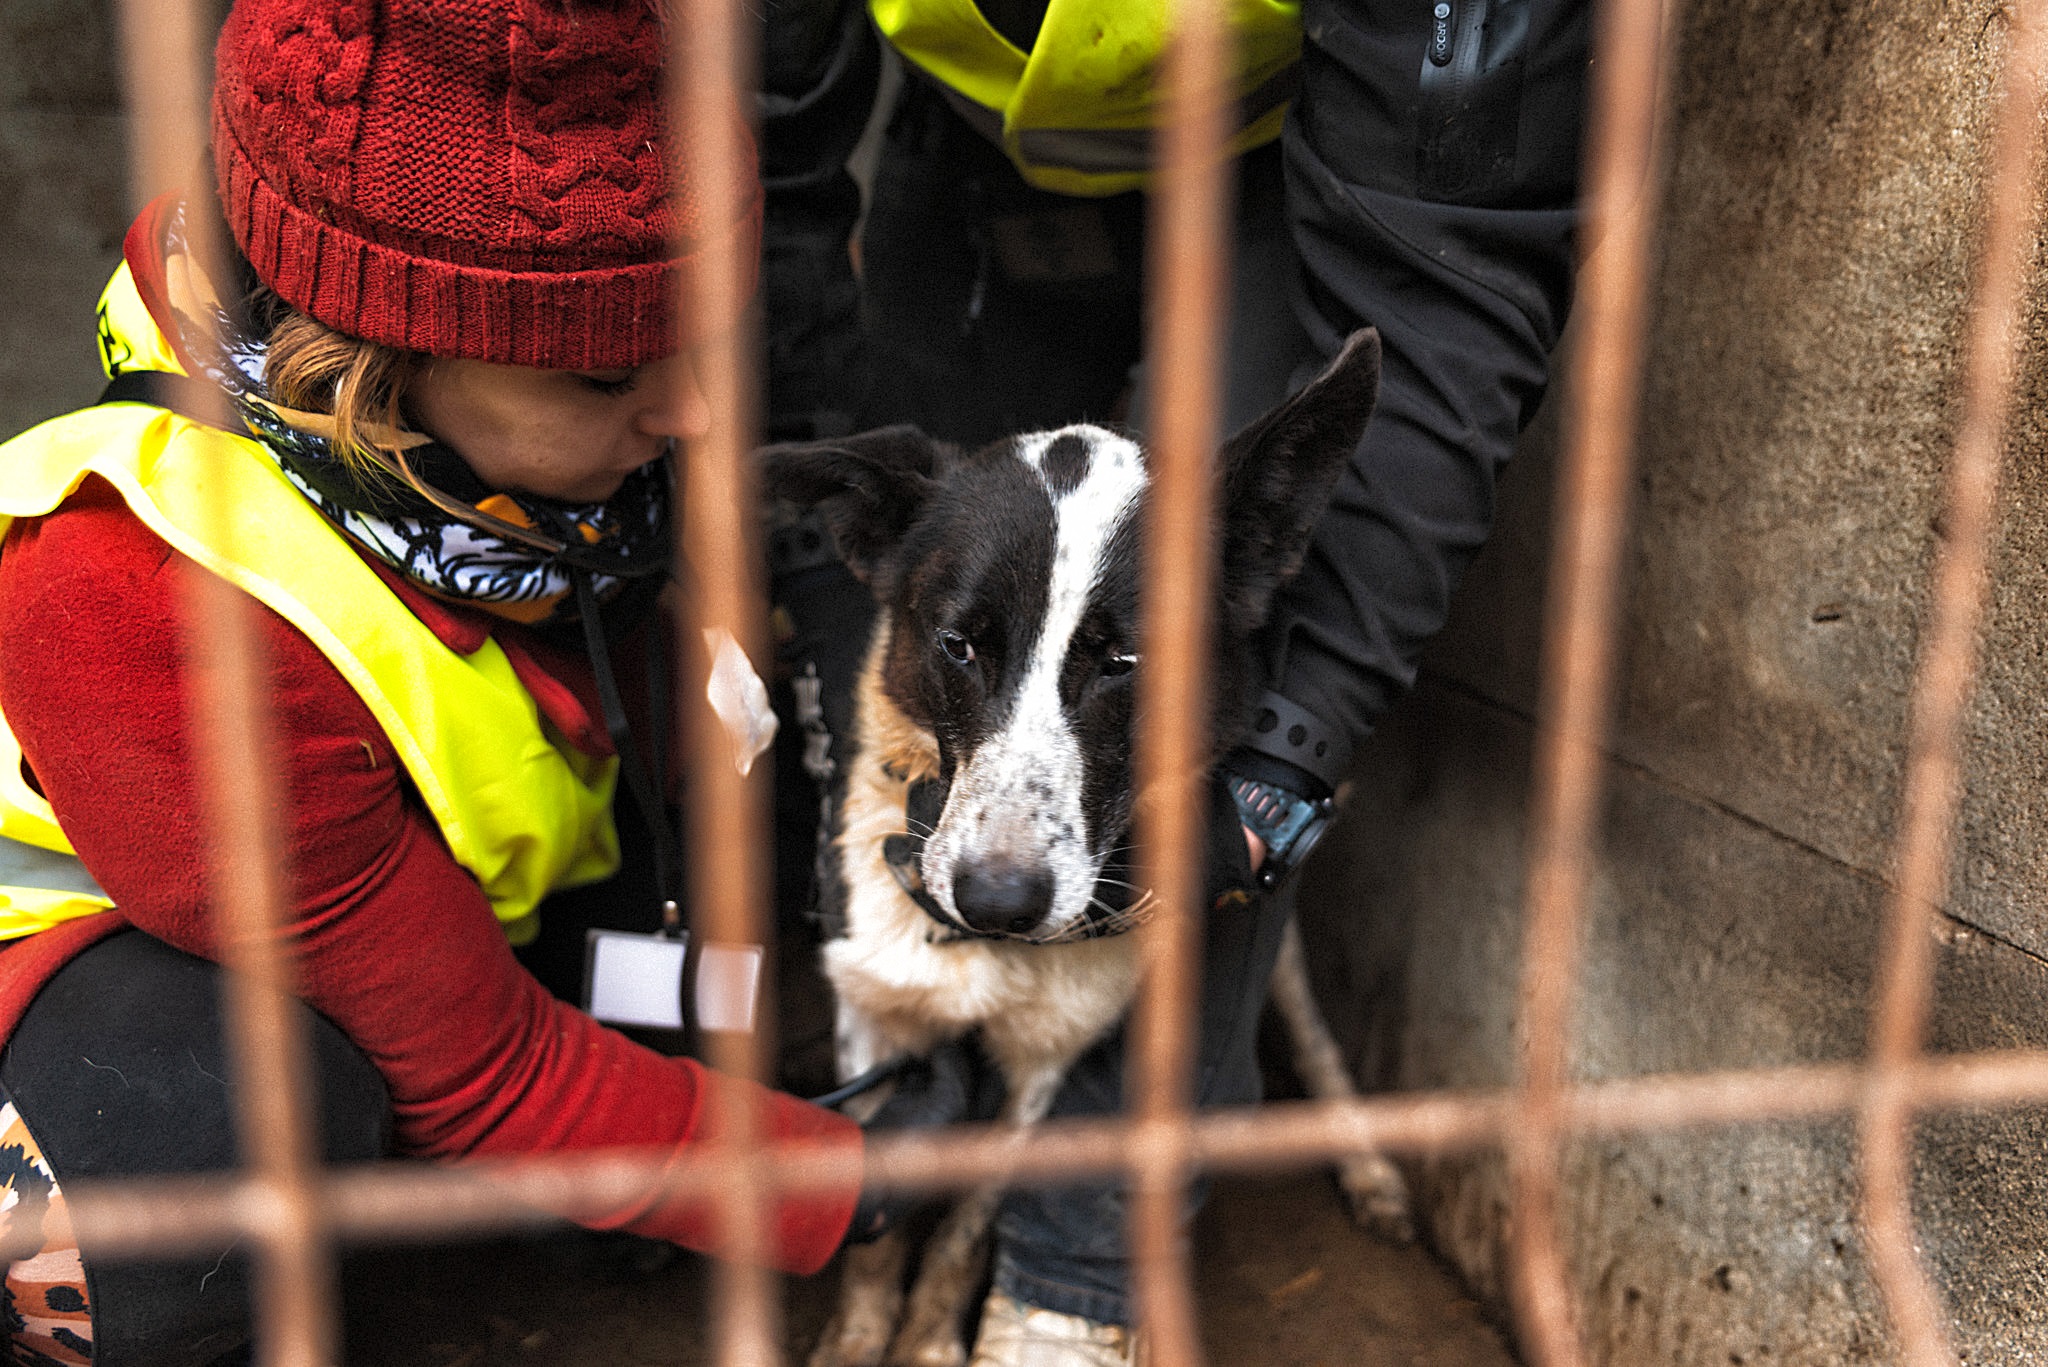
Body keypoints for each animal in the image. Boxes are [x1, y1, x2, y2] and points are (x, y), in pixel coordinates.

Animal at [770, 327, 1409, 1367]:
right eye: (958, 644)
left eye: (1127, 663)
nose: (997, 899)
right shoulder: (875, 1018)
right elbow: (879, 1218)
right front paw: (861, 1337)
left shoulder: (1044, 1067)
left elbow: (964, 1230)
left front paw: (929, 1342)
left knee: (1309, 1022)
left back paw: (1367, 1160)